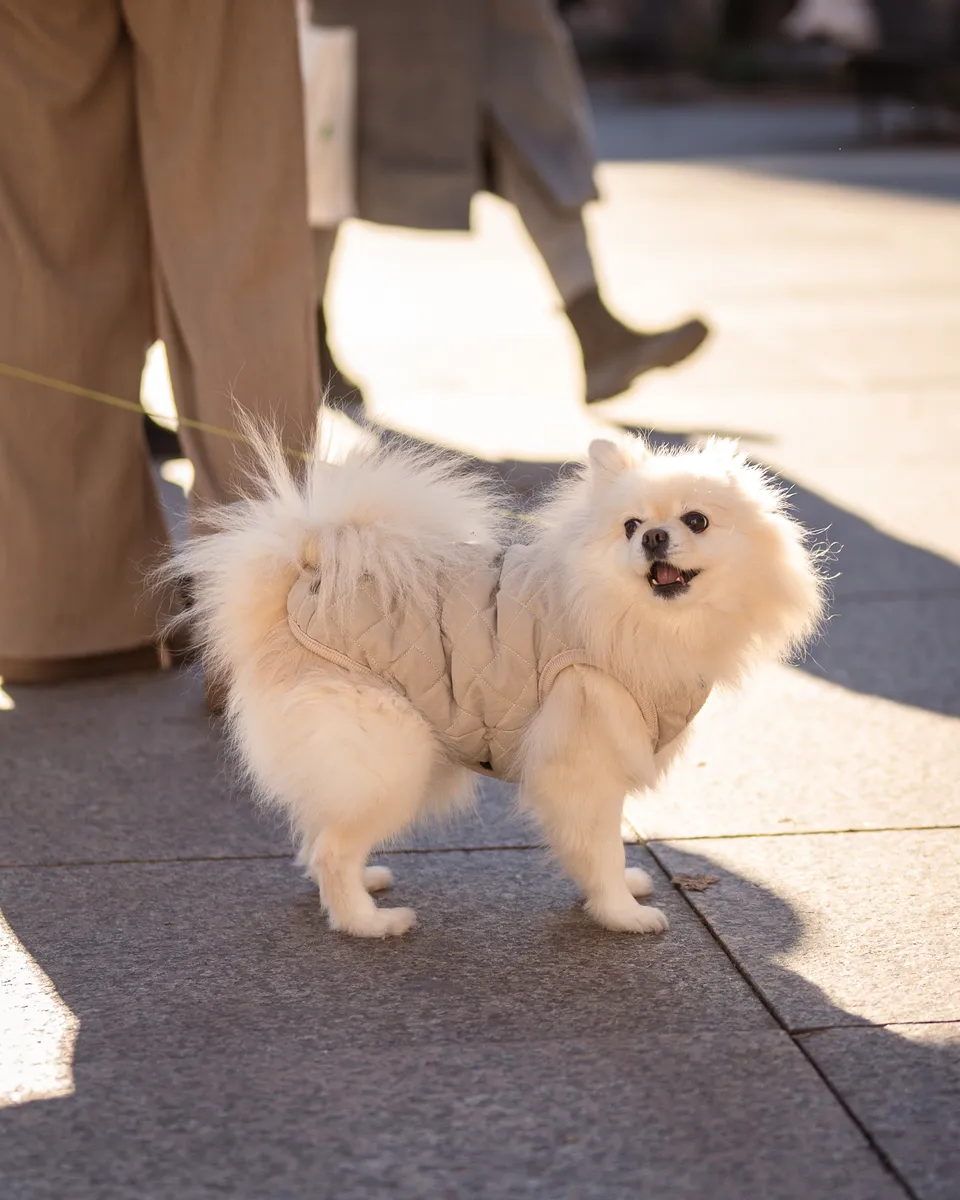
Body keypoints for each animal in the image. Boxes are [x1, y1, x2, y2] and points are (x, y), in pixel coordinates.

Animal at [180, 427, 825, 940]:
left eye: (696, 520)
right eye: (631, 526)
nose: (654, 537)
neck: (627, 619)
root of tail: (298, 591)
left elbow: (605, 844)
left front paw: (623, 887)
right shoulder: (583, 760)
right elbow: (599, 845)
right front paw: (621, 913)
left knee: (319, 834)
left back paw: (367, 881)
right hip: (388, 756)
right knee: (331, 850)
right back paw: (367, 921)